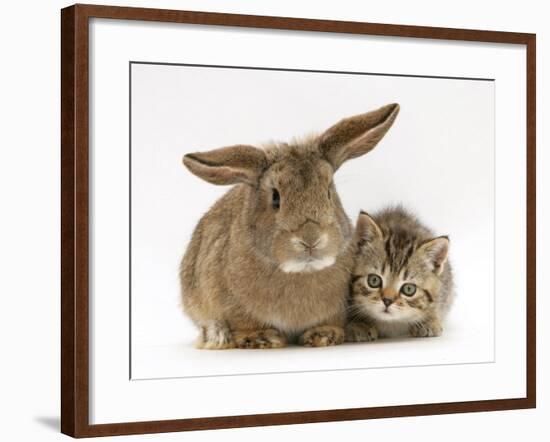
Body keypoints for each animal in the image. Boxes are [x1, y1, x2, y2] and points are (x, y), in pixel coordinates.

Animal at [181, 103, 402, 348]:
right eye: (275, 198)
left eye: (328, 192)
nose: (311, 239)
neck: (302, 271)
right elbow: (243, 324)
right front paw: (261, 337)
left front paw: (324, 335)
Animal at [348, 207, 454, 342]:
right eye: (374, 280)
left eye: (409, 289)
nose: (387, 301)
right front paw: (359, 324)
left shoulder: (445, 287)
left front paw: (428, 321)